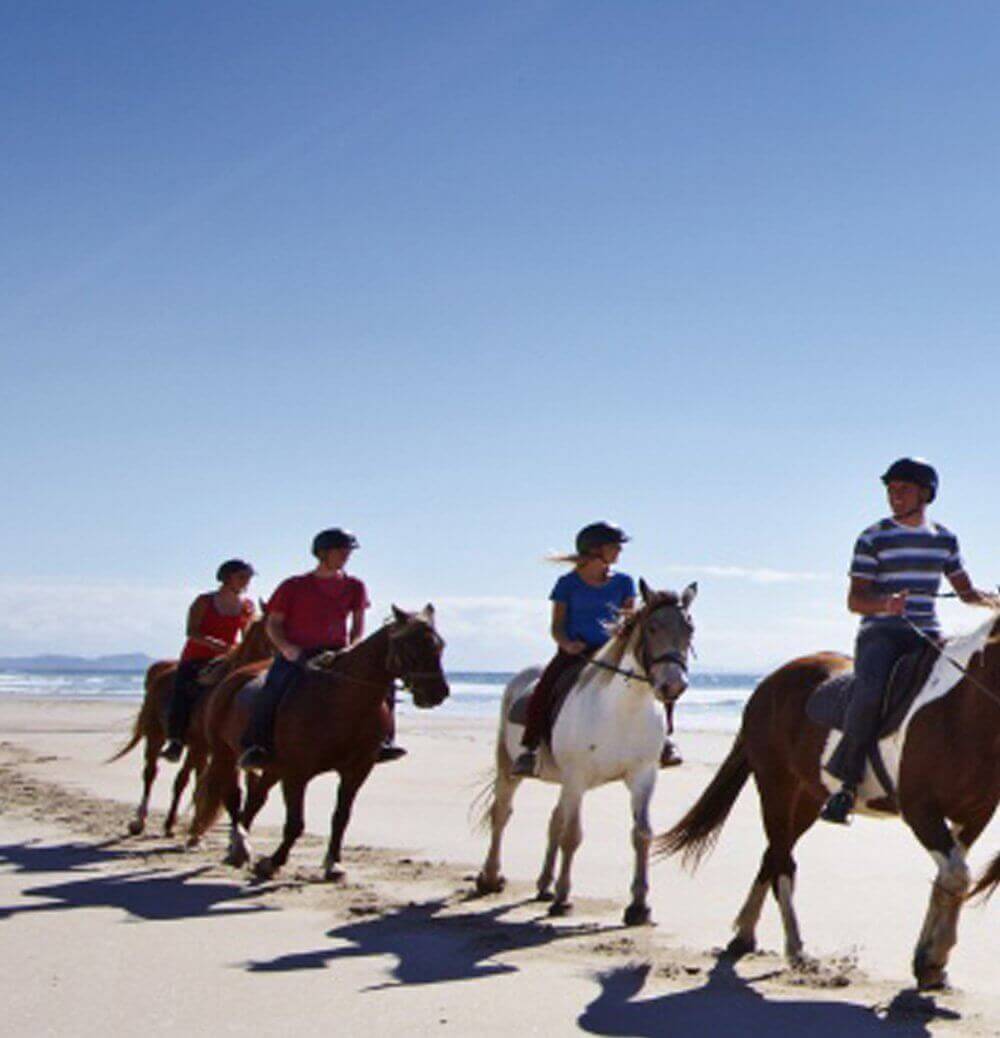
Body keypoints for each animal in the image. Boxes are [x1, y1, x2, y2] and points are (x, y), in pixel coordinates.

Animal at [108, 610, 274, 838]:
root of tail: (160, 672)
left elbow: (240, 784)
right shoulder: (200, 744)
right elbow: (184, 781)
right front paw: (172, 824)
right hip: (156, 735)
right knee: (151, 773)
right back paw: (140, 821)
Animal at [475, 585, 697, 925]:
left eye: (689, 629)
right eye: (651, 627)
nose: (673, 684)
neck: (620, 711)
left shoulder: (642, 776)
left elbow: (642, 834)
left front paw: (639, 905)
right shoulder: (577, 778)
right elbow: (572, 835)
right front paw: (564, 899)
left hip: (563, 782)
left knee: (553, 820)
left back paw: (544, 885)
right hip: (510, 767)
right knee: (502, 814)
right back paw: (490, 878)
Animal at [656, 610, 1000, 992]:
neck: (962, 708)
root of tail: (768, 683)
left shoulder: (976, 813)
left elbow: (948, 880)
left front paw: (930, 963)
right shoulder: (920, 810)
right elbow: (956, 877)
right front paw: (932, 960)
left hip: (807, 797)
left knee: (773, 853)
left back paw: (744, 935)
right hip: (776, 785)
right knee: (782, 860)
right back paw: (795, 949)